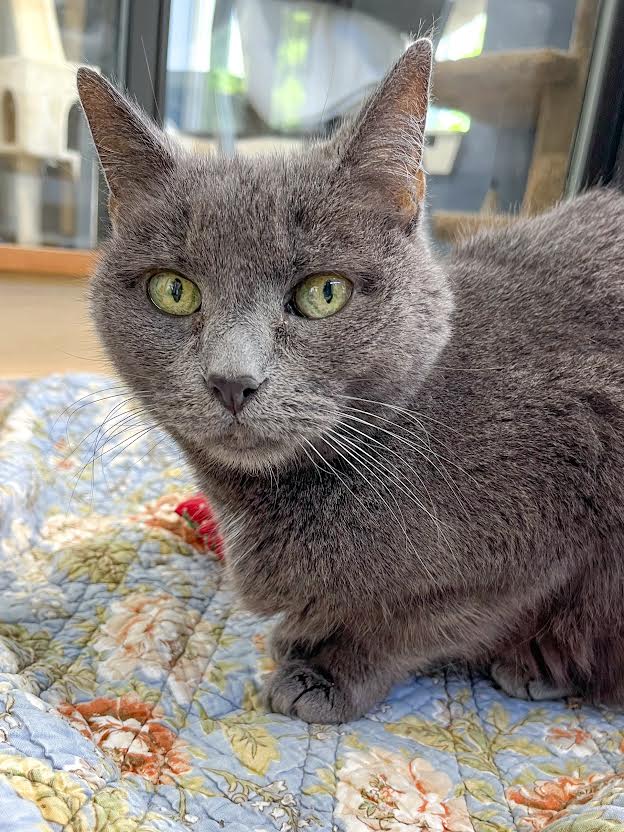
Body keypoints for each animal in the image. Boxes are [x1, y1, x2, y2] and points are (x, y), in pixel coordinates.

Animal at [77, 40, 624, 720]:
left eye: (324, 293)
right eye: (173, 291)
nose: (232, 380)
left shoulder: (552, 522)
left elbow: (417, 623)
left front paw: (326, 671)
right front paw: (299, 635)